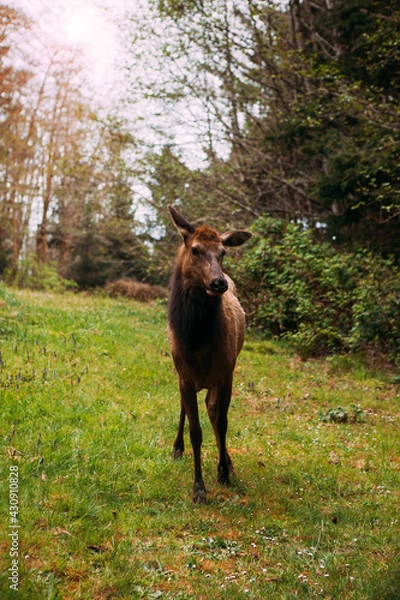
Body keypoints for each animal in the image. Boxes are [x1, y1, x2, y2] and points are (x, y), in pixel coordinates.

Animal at [167, 205, 252, 502]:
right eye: (195, 249)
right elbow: (196, 431)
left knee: (212, 410)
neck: (197, 342)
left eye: (223, 252)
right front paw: (199, 489)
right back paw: (176, 447)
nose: (218, 283)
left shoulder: (226, 373)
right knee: (186, 407)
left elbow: (222, 421)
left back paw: (228, 462)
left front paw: (223, 473)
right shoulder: (184, 375)